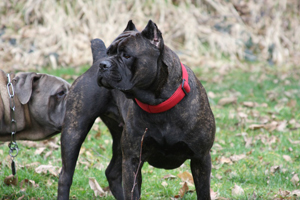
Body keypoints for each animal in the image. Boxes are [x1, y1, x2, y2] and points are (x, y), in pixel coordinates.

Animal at [57, 20, 214, 200]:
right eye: (108, 52)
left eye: (127, 56)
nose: (103, 64)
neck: (158, 102)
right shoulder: (132, 161)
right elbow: (132, 192)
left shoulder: (201, 159)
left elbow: (203, 192)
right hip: (74, 131)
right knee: (65, 176)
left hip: (118, 139)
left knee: (112, 172)